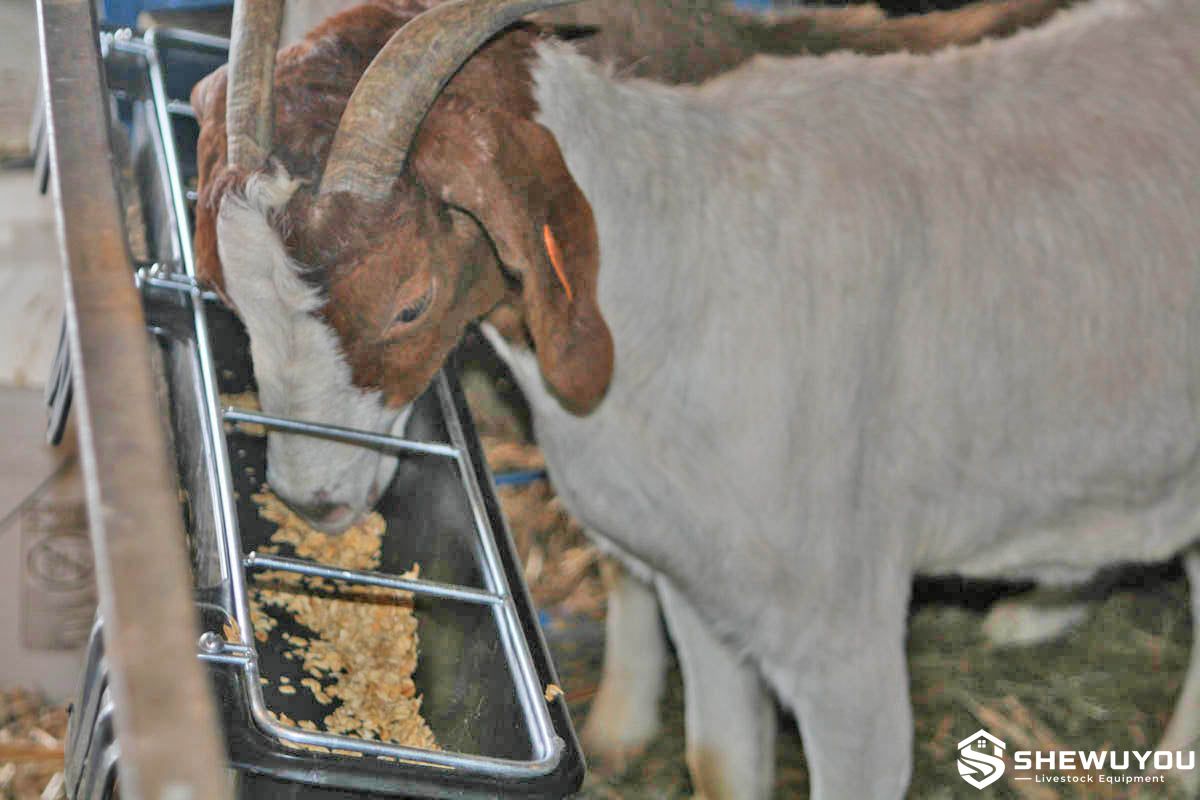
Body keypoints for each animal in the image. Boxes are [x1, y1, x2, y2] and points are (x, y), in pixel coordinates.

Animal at [193, 0, 1200, 796]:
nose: (312, 499)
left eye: (410, 300)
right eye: (228, 290)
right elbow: (717, 763)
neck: (681, 253)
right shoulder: (700, 591)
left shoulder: (843, 648)